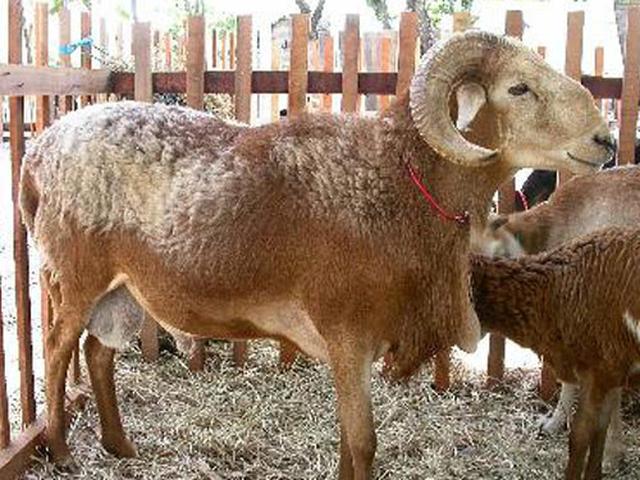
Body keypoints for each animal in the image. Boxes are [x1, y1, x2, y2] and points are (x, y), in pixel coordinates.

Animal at [20, 31, 612, 477]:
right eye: (519, 87)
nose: (605, 141)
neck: (396, 179)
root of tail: (39, 149)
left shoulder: (358, 344)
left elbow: (350, 439)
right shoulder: (347, 334)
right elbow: (365, 441)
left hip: (125, 286)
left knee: (97, 353)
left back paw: (121, 447)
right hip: (73, 274)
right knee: (56, 350)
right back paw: (65, 453)